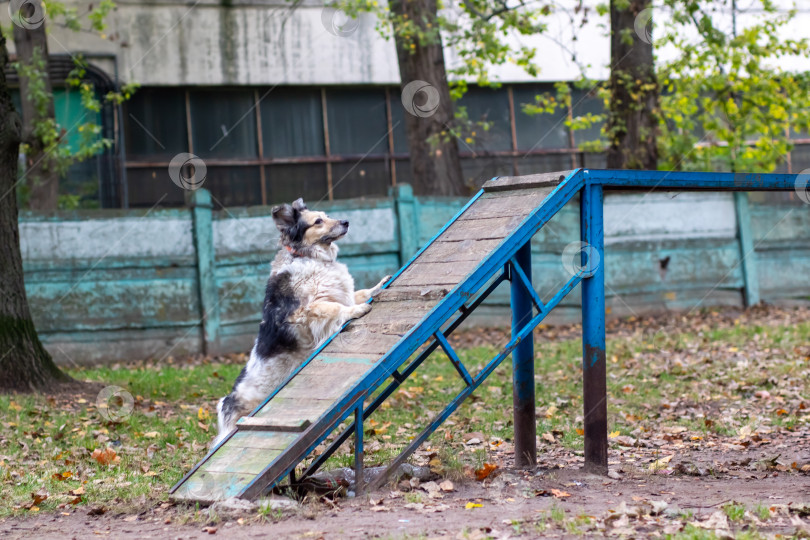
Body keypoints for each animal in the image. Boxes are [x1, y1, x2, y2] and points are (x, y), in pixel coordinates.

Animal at [215, 198, 392, 442]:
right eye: (318, 221)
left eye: (327, 216)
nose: (346, 221)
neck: (310, 256)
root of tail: (228, 402)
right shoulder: (303, 312)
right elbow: (336, 308)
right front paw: (356, 310)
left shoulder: (340, 293)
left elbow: (360, 293)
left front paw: (378, 286)